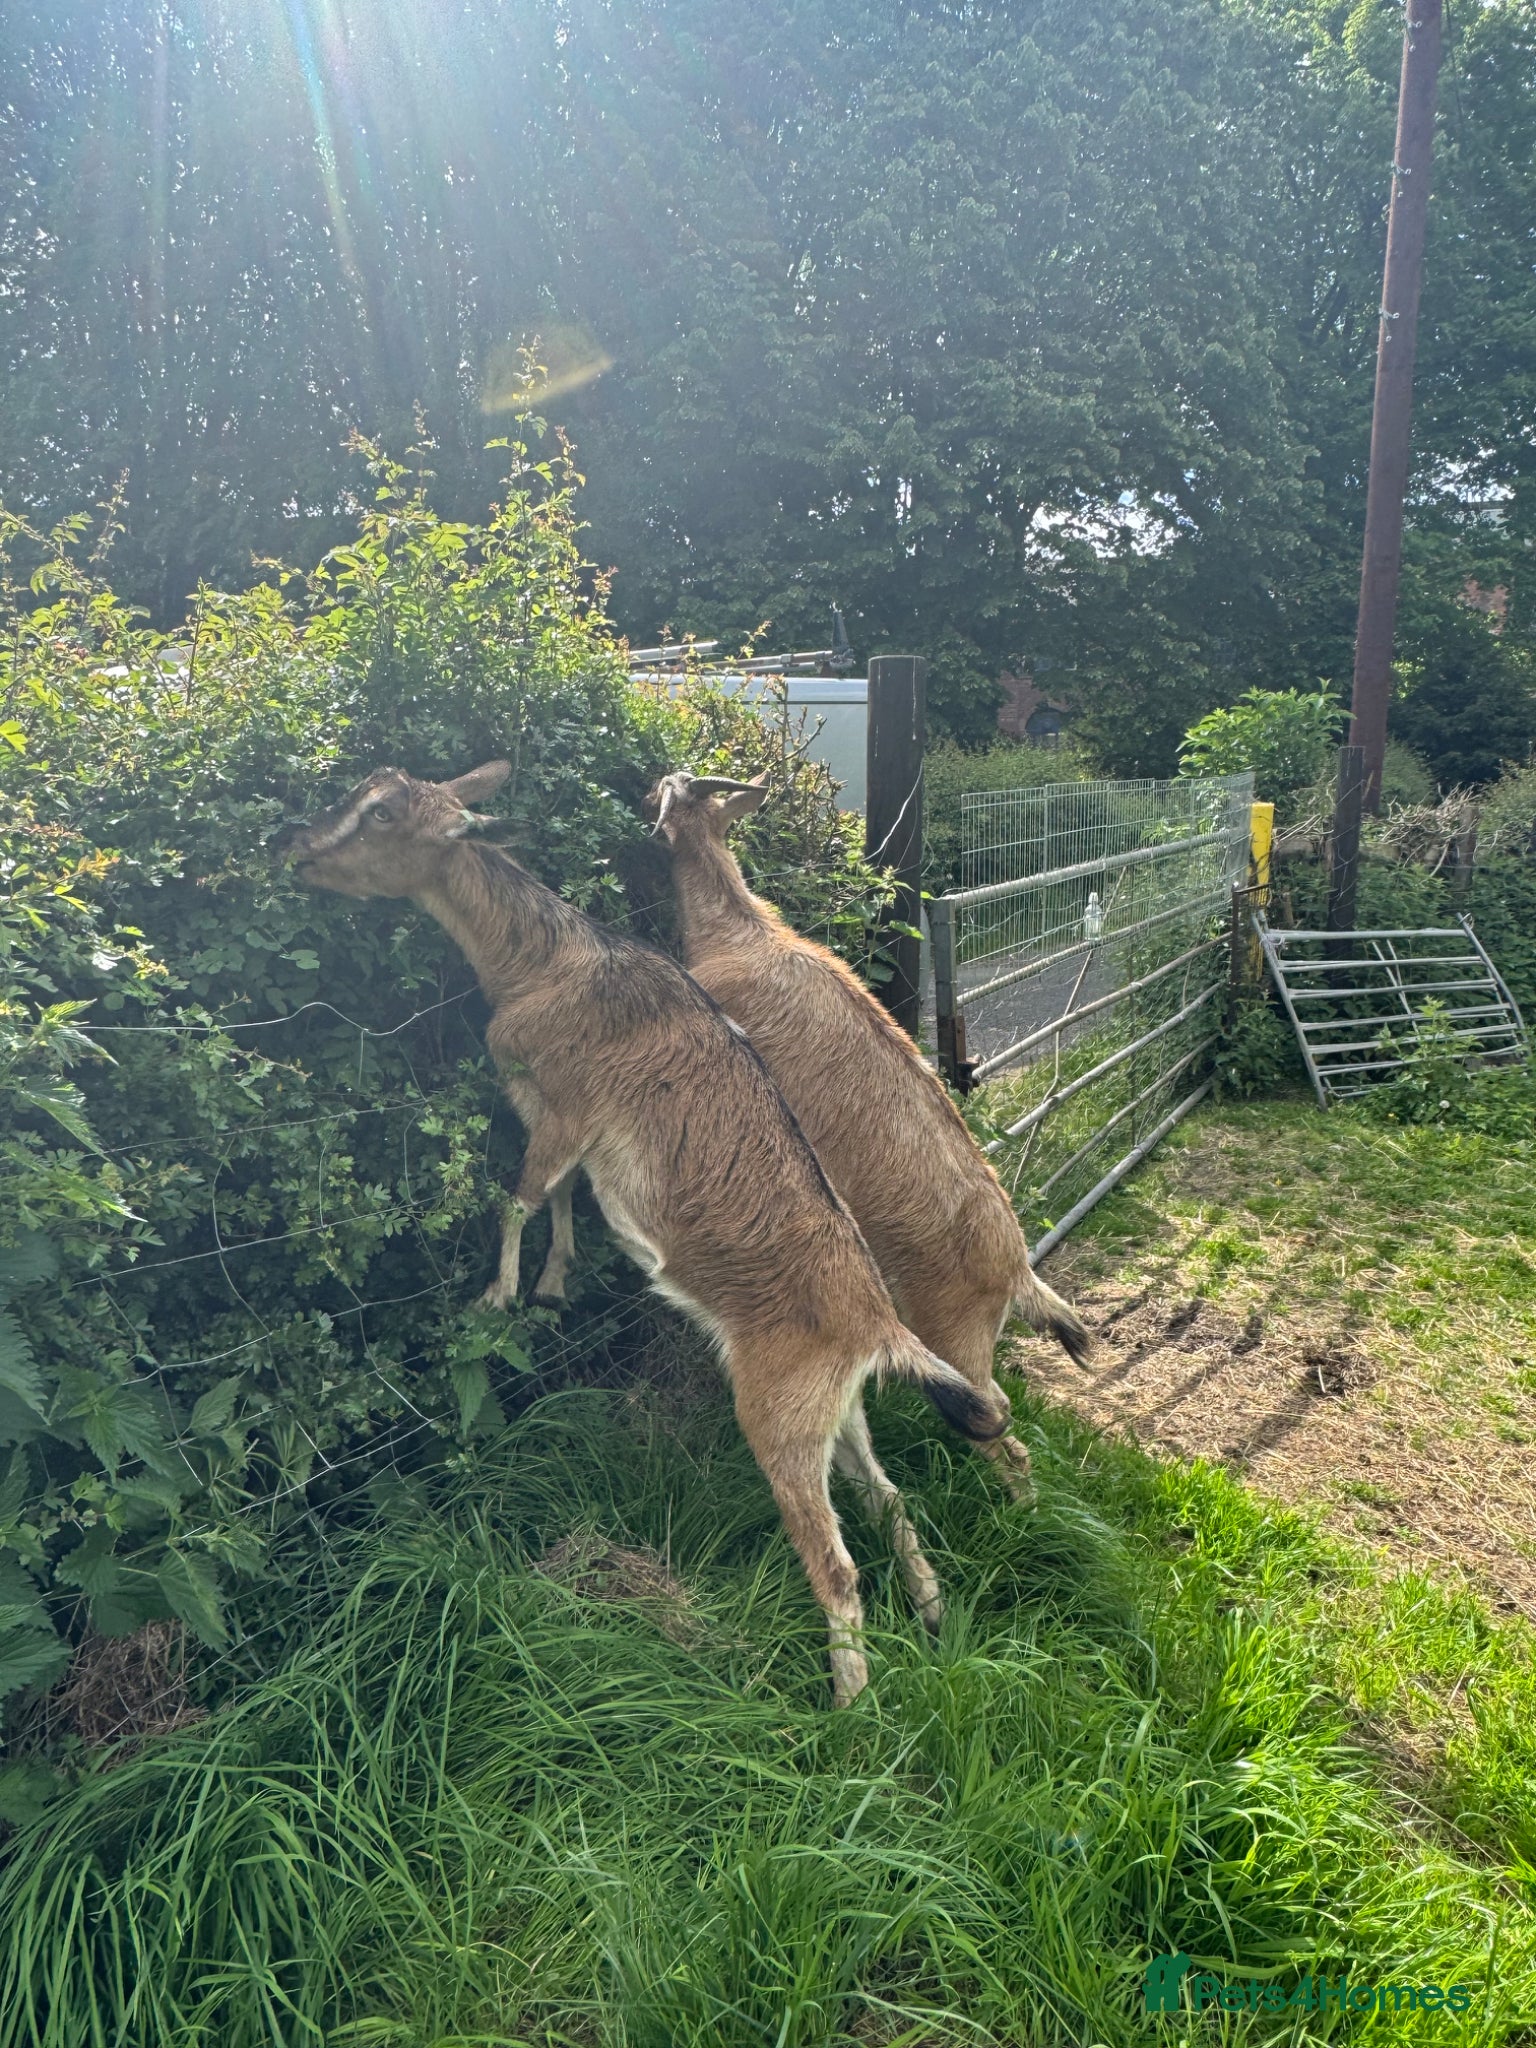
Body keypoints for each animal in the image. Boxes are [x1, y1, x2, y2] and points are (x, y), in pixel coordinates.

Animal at [280, 760, 1017, 1705]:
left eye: (377, 814)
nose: (293, 846)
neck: (545, 961)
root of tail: (878, 1329)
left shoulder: (563, 1102)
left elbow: (519, 1196)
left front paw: (496, 1296)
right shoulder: (557, 1120)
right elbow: (558, 1196)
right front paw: (552, 1284)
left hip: (778, 1419)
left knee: (837, 1565)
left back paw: (850, 1701)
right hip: (837, 1418)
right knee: (889, 1499)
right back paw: (931, 1613)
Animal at [643, 770, 1092, 1502]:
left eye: (668, 790)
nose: (641, 793)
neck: (741, 933)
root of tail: (1018, 1273)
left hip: (954, 1336)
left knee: (1000, 1423)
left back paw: (1018, 1508)